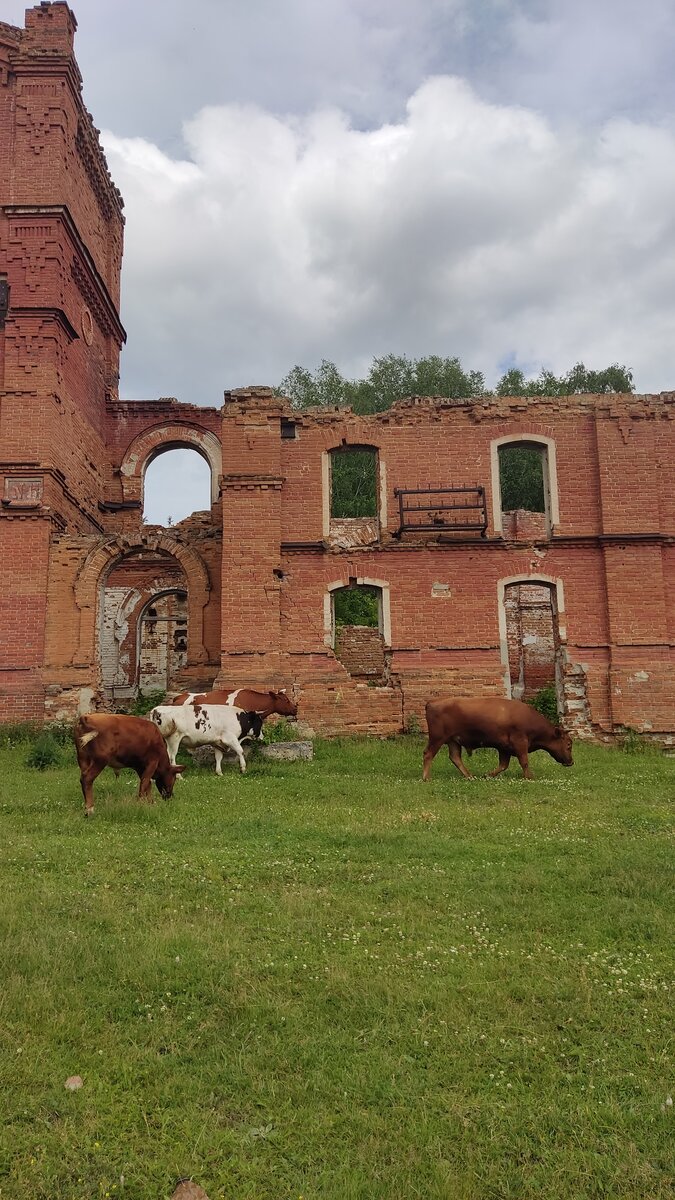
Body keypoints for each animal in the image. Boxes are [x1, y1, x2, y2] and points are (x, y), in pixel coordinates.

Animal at [420, 700, 571, 782]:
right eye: (569, 744)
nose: (571, 762)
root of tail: (432, 703)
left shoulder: (504, 748)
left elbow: (503, 765)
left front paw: (487, 775)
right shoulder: (520, 742)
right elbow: (524, 761)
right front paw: (529, 777)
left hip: (453, 741)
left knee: (455, 757)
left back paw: (469, 776)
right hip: (437, 739)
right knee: (428, 754)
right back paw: (426, 778)